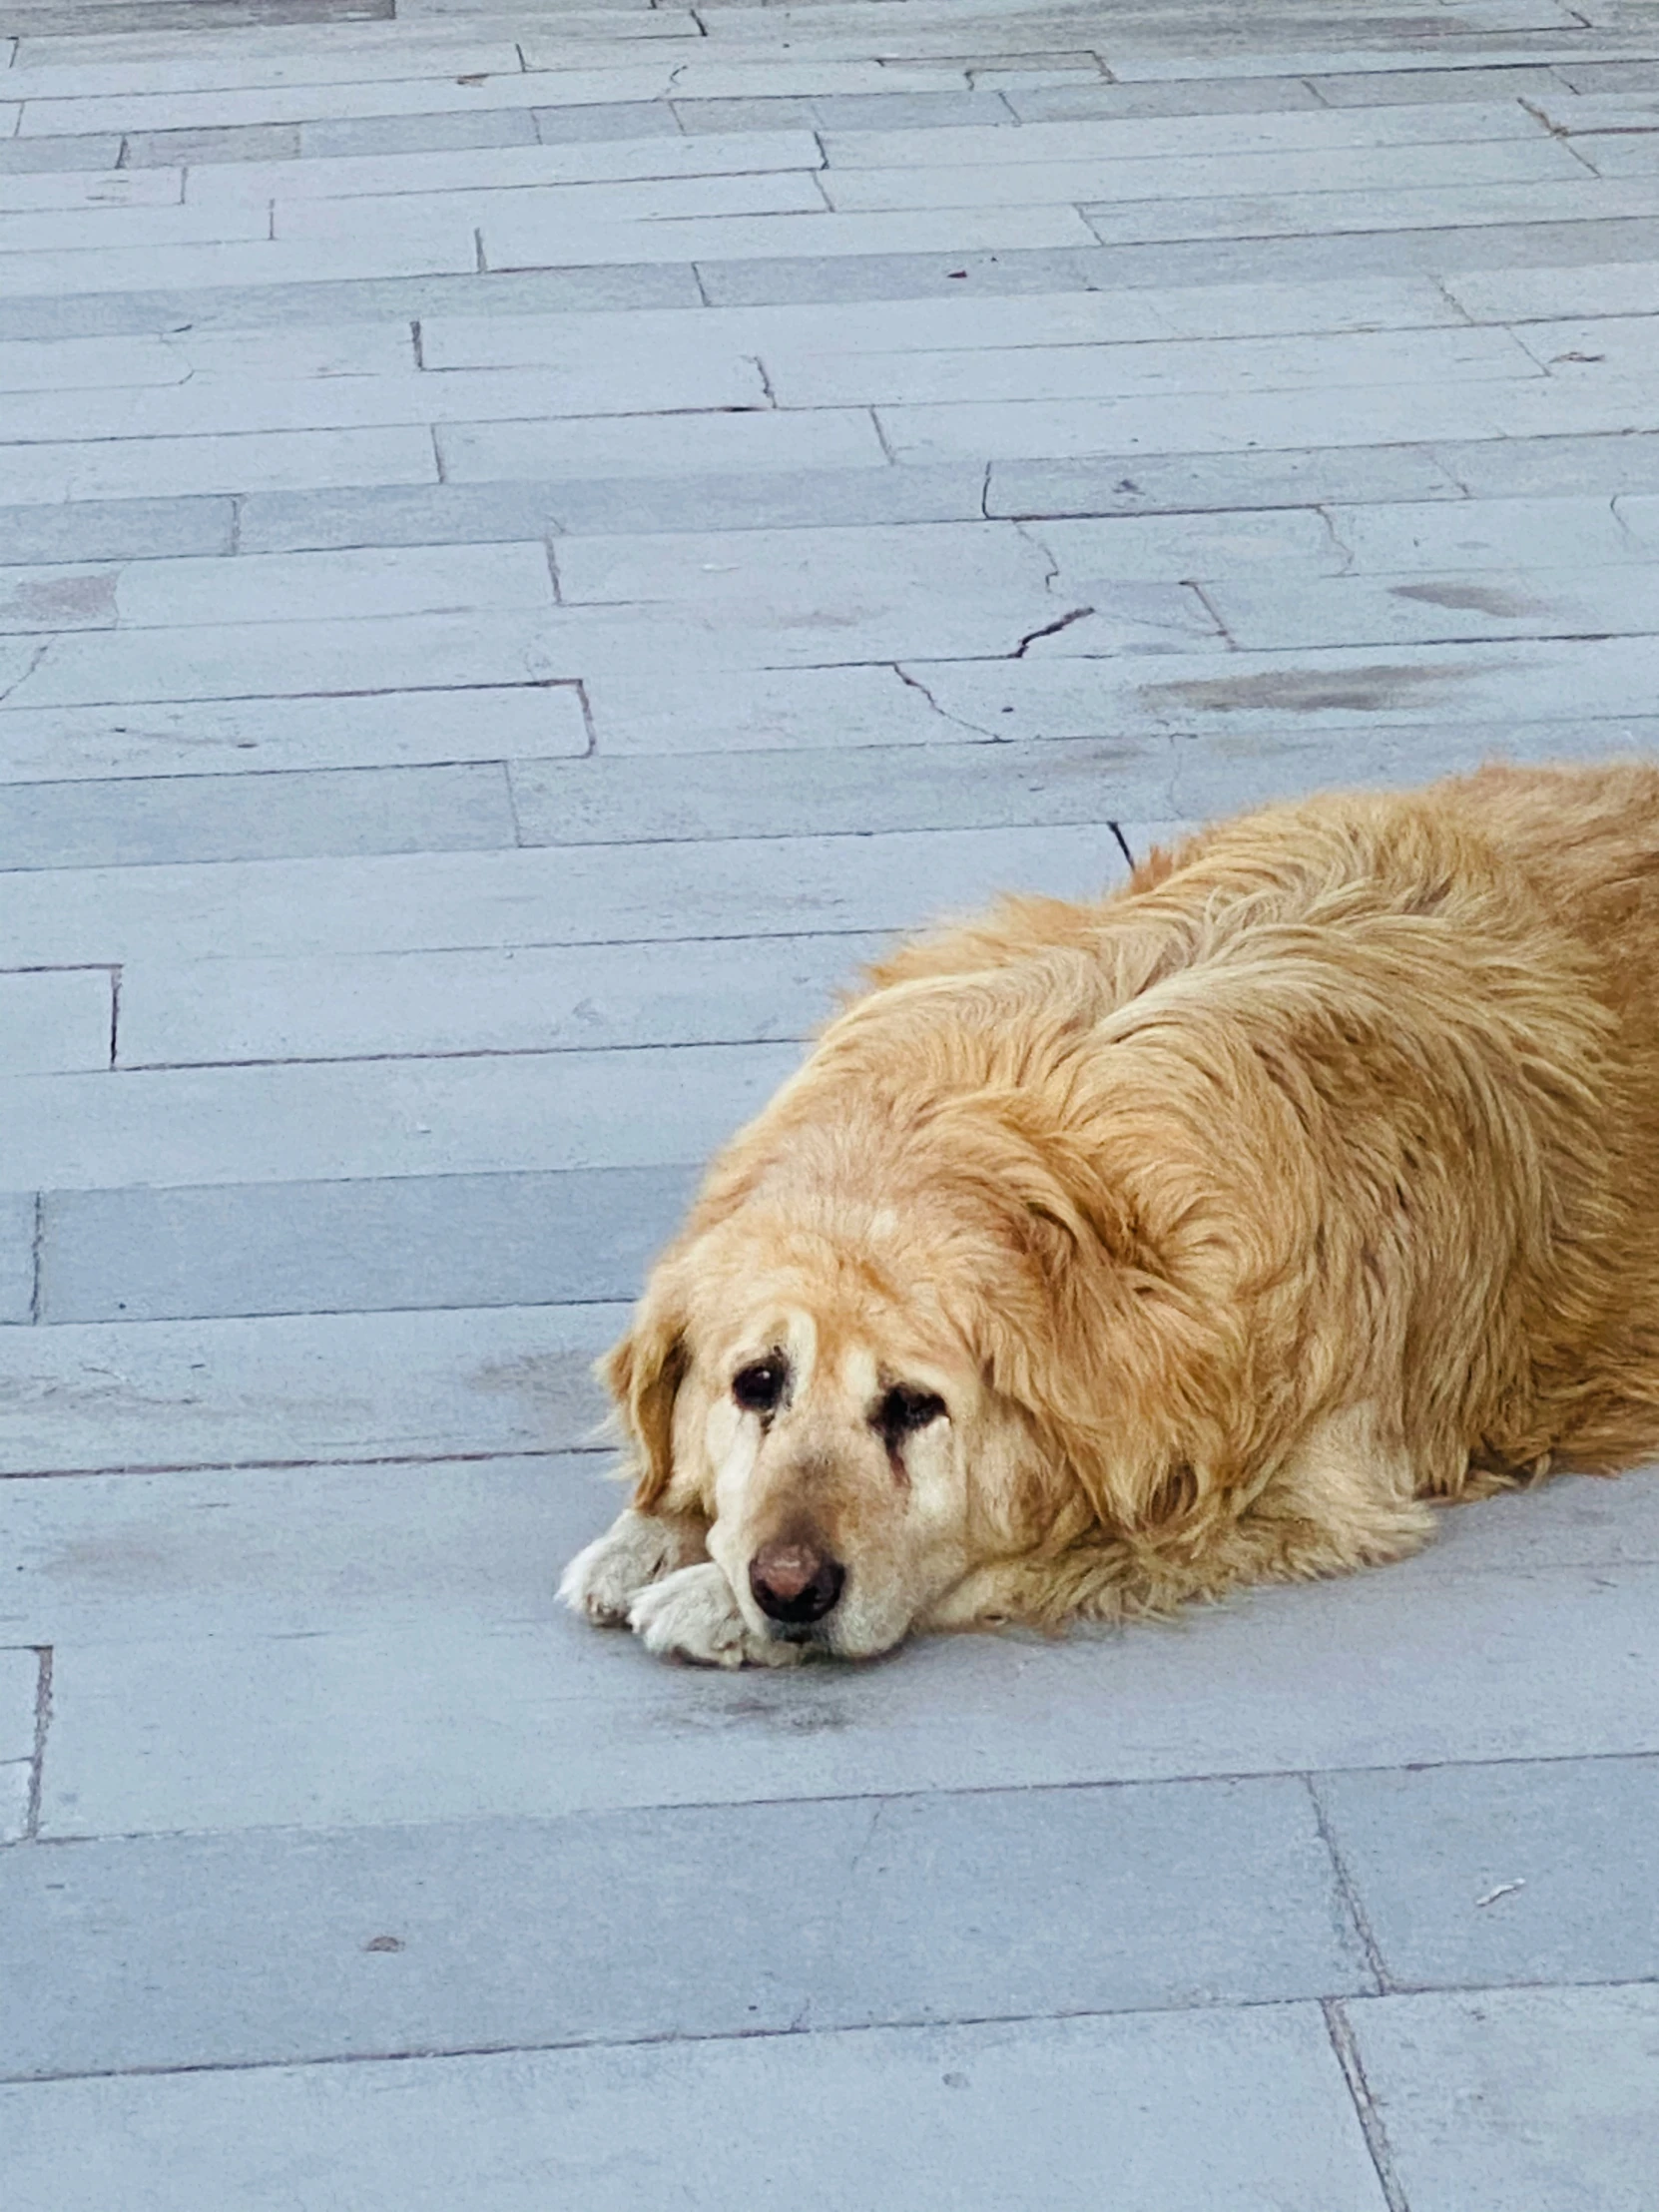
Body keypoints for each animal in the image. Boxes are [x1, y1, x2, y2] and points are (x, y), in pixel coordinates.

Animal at [561, 770, 1659, 1663]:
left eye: (916, 1406)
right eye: (757, 1381)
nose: (789, 1588)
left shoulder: (1297, 1490)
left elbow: (1026, 1546)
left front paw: (705, 1596)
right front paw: (645, 1538)